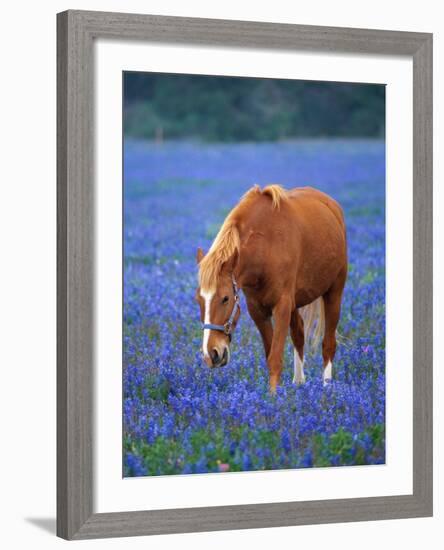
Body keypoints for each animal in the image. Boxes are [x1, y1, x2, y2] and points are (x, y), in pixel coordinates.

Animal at [195, 185, 346, 392]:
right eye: (199, 300)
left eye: (225, 298)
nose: (211, 355)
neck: (265, 247)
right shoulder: (258, 310)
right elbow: (270, 355)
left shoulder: (281, 306)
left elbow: (275, 358)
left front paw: (273, 397)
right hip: (295, 303)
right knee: (299, 334)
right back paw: (299, 383)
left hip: (334, 292)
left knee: (328, 343)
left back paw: (327, 388)